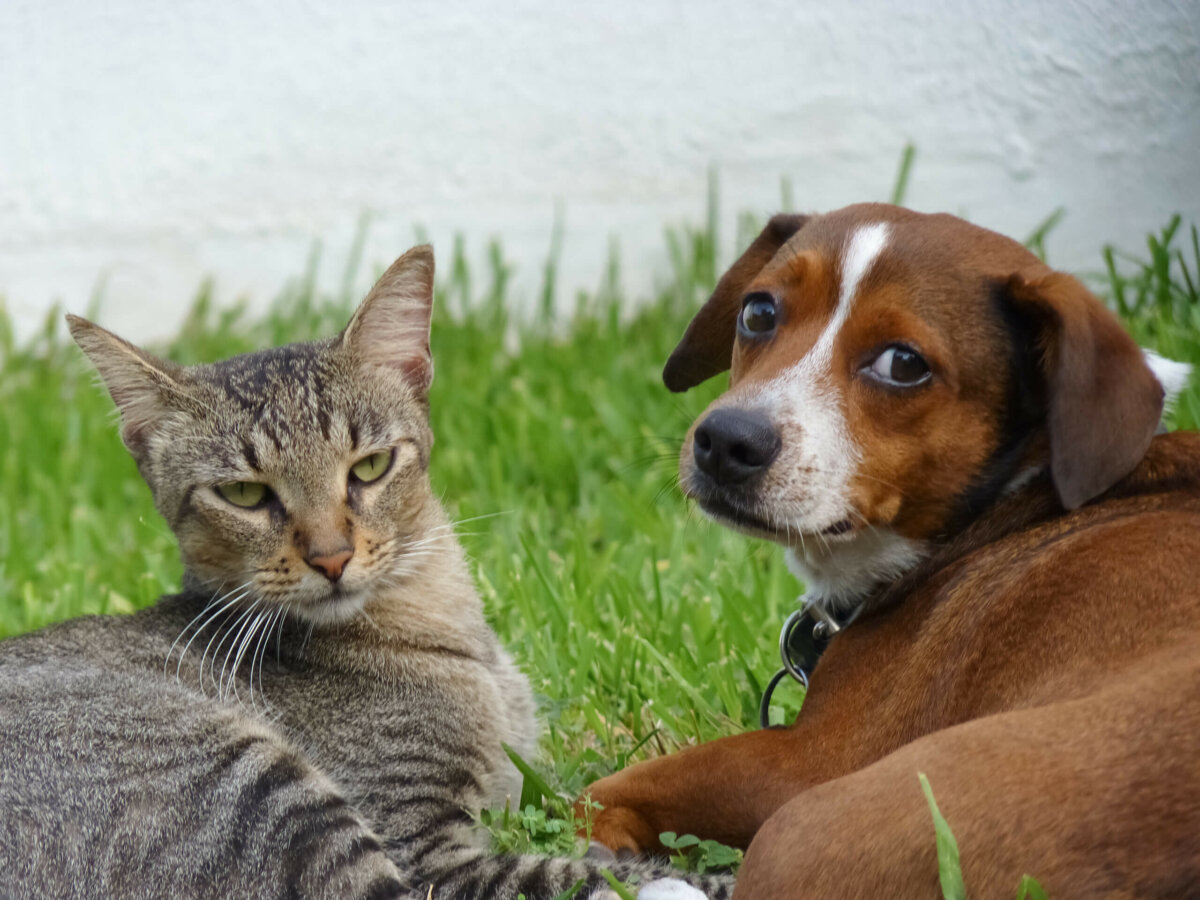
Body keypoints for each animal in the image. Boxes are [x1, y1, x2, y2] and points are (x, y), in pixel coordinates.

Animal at [0, 247, 729, 900]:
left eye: (370, 466)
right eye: (244, 494)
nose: (330, 557)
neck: (445, 636)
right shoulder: (431, 852)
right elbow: (591, 873)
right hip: (240, 774)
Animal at [585, 206, 1200, 900]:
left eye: (903, 364)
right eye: (758, 312)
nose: (725, 441)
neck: (1006, 505)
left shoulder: (805, 760)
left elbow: (600, 788)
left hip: (803, 827)